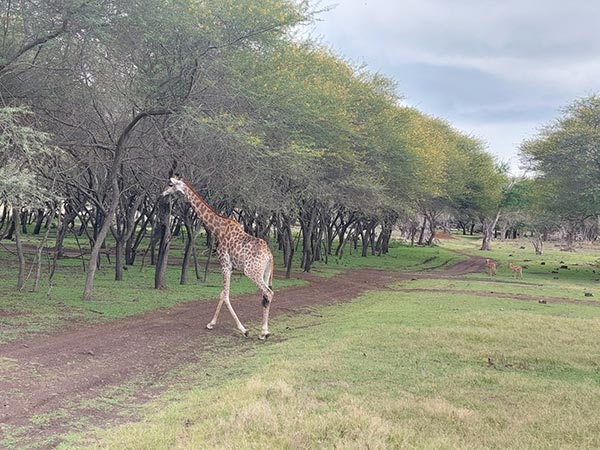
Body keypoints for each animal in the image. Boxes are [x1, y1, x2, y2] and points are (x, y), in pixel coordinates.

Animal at [162, 176, 274, 339]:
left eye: (170, 184)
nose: (163, 193)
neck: (218, 228)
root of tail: (270, 256)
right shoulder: (230, 267)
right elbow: (222, 294)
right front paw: (211, 323)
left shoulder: (225, 263)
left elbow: (225, 295)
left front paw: (243, 329)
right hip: (265, 272)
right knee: (265, 296)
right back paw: (264, 331)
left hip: (252, 272)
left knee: (268, 293)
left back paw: (263, 332)